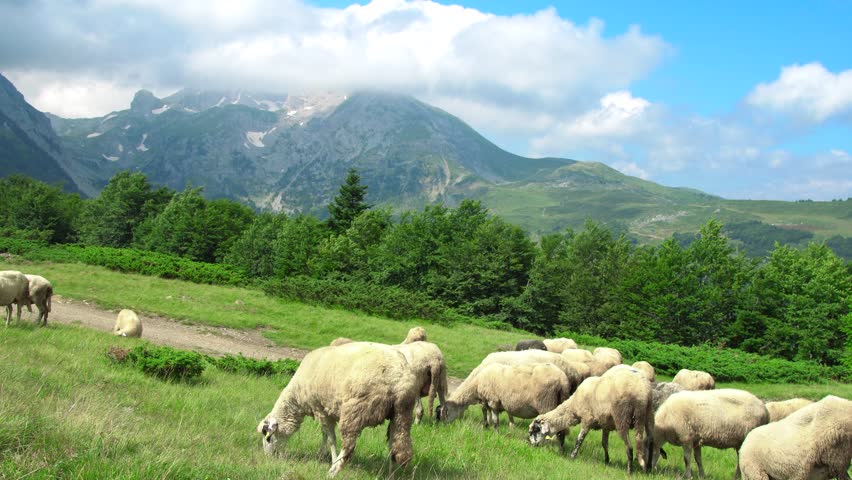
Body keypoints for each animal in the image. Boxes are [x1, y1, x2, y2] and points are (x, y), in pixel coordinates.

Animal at [258, 342, 419, 477]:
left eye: (268, 437)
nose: (268, 457)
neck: (297, 396)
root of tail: (400, 380)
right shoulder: (326, 410)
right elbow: (324, 434)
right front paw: (322, 454)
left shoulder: (321, 409)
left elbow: (331, 438)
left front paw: (331, 458)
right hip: (401, 413)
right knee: (395, 445)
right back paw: (391, 473)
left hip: (355, 411)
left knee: (349, 447)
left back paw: (334, 470)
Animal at [436, 362, 571, 446]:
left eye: (444, 414)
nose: (442, 427)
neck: (476, 384)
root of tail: (563, 379)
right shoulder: (487, 401)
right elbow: (485, 411)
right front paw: (486, 425)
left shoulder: (493, 401)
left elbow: (495, 420)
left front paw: (495, 433)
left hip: (547, 404)